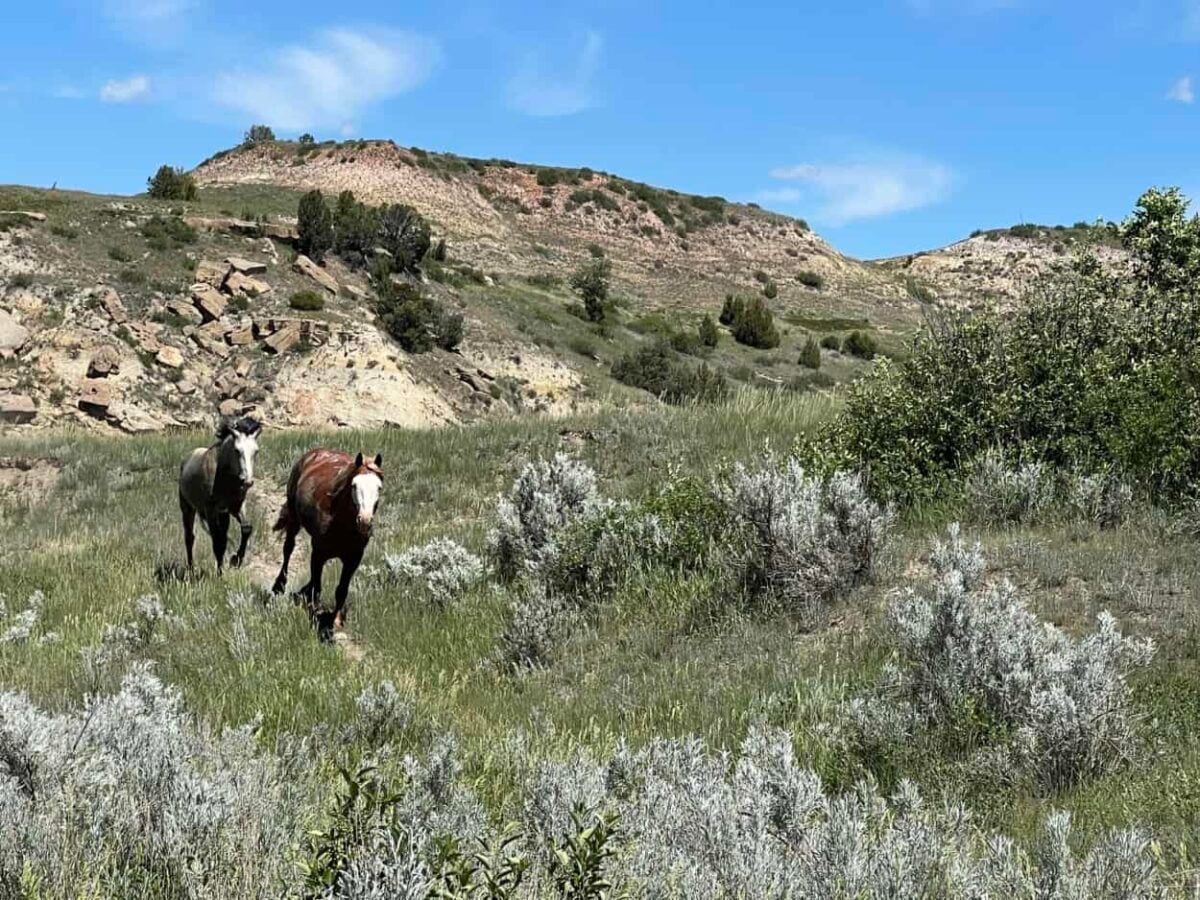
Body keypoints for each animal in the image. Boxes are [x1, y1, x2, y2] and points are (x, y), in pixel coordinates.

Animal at [178, 416, 262, 572]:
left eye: (256, 451)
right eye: (237, 450)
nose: (247, 481)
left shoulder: (236, 507)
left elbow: (246, 528)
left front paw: (236, 560)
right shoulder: (210, 510)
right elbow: (218, 542)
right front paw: (220, 573)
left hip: (223, 515)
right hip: (187, 508)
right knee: (189, 537)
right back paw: (191, 568)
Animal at [271, 449, 383, 636]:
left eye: (379, 487)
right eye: (354, 485)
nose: (365, 522)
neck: (340, 522)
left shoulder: (353, 559)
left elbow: (341, 590)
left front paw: (335, 620)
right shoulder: (318, 552)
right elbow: (317, 587)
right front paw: (313, 613)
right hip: (294, 519)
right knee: (288, 549)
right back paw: (279, 586)